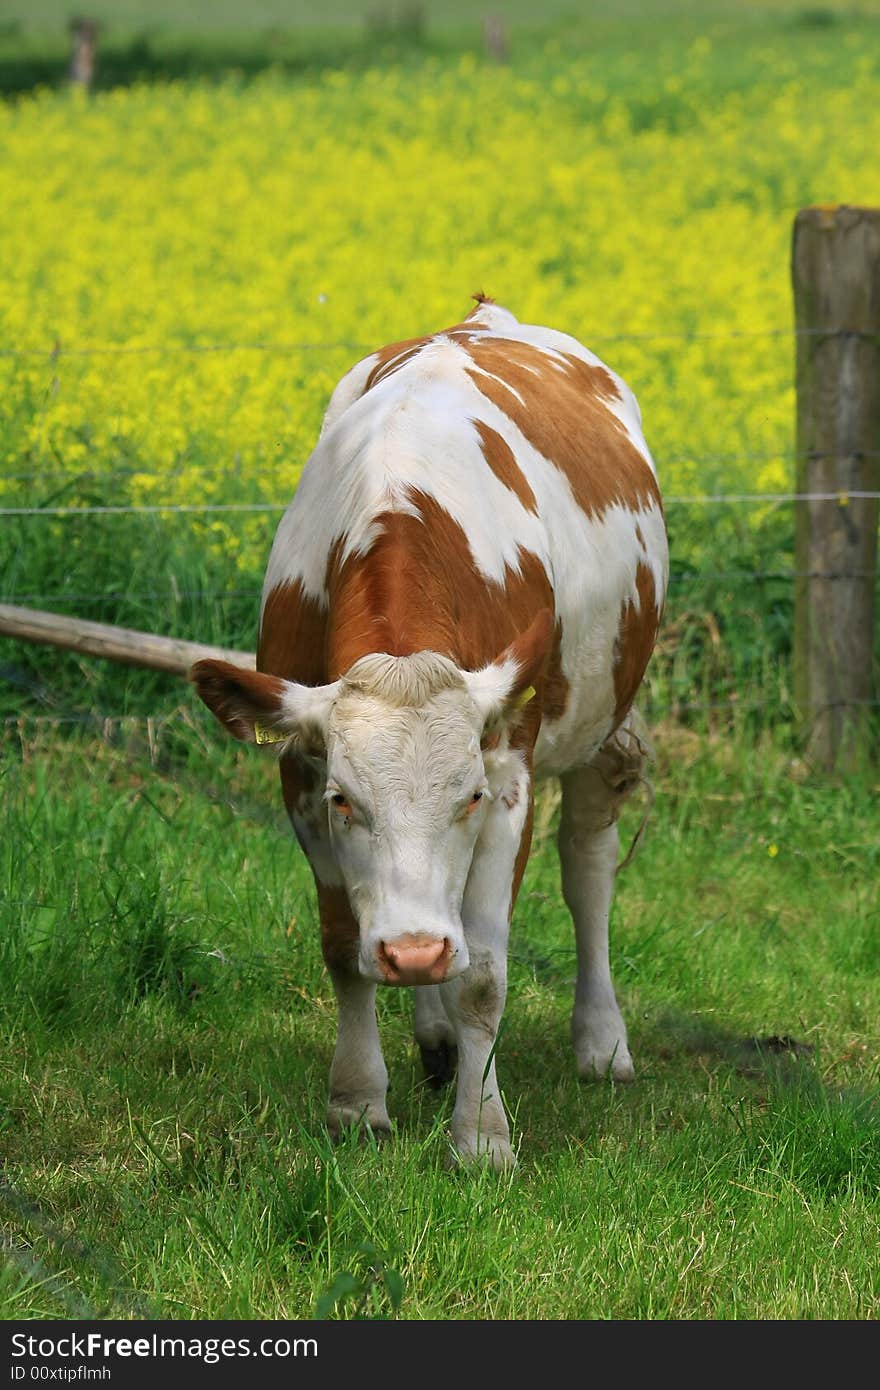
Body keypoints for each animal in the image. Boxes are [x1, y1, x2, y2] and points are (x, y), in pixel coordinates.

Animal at [191, 298, 664, 1167]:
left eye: (469, 796)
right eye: (345, 800)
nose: (412, 953)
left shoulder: (508, 773)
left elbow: (483, 973)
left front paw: (482, 1137)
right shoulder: (299, 772)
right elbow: (343, 946)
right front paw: (356, 1103)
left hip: (603, 714)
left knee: (587, 869)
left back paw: (601, 1041)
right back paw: (438, 1039)